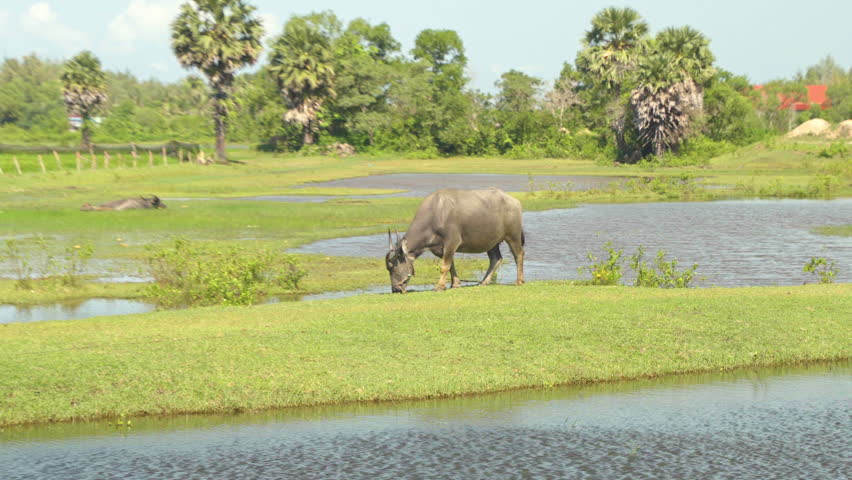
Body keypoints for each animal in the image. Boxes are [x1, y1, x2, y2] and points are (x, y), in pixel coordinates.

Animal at [386, 188, 525, 293]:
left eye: (392, 268)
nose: (395, 289)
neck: (436, 214)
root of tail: (515, 201)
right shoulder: (442, 249)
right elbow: (451, 265)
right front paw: (455, 284)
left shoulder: (452, 242)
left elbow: (444, 266)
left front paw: (439, 286)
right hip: (492, 241)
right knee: (496, 258)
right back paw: (484, 281)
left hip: (513, 236)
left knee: (518, 254)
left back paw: (519, 280)